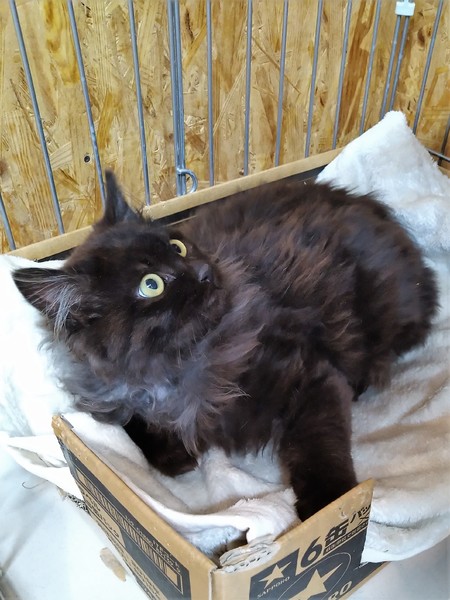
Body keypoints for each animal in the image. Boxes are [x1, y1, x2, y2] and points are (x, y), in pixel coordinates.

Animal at [13, 171, 437, 521]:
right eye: (151, 285)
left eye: (178, 248)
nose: (202, 273)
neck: (177, 367)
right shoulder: (118, 399)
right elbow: (141, 431)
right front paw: (175, 455)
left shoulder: (309, 373)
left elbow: (322, 448)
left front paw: (332, 508)